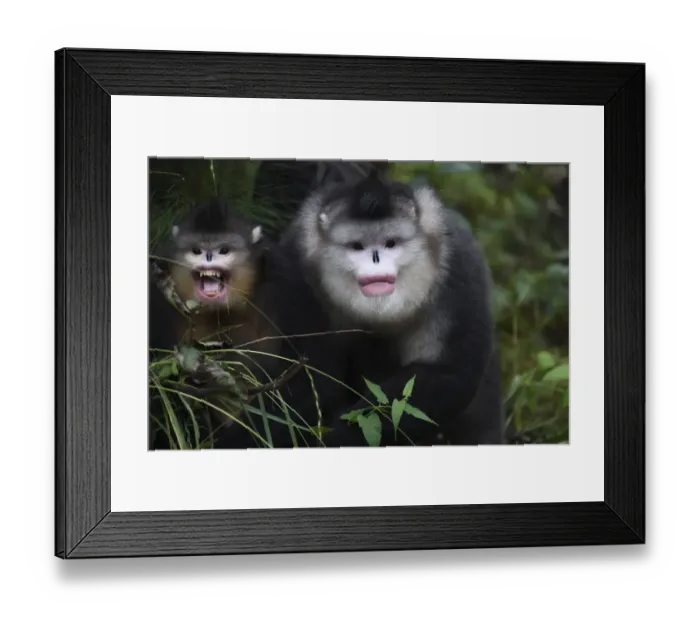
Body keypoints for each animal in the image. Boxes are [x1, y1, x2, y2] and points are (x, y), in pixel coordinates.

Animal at [262, 167, 505, 448]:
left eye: (390, 243)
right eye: (357, 246)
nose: (376, 259)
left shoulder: (459, 267)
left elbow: (449, 374)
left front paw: (337, 437)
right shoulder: (297, 266)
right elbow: (306, 376)